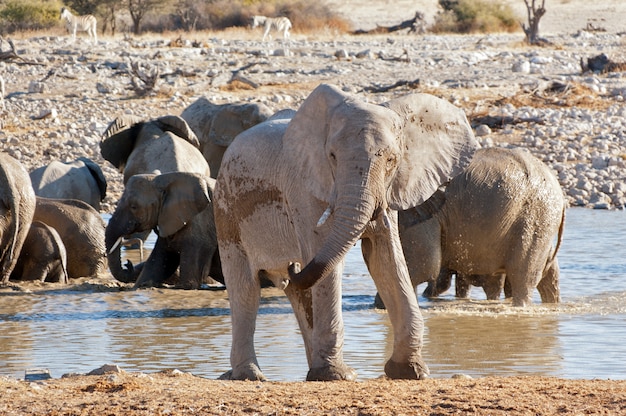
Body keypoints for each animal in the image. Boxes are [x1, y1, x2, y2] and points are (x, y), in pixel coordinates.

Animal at [212, 83, 476, 382]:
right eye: (333, 157)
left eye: (392, 160)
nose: (292, 265)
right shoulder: (303, 190)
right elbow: (328, 262)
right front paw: (336, 376)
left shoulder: (389, 190)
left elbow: (384, 258)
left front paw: (410, 371)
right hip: (227, 209)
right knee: (246, 289)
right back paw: (251, 375)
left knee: (299, 294)